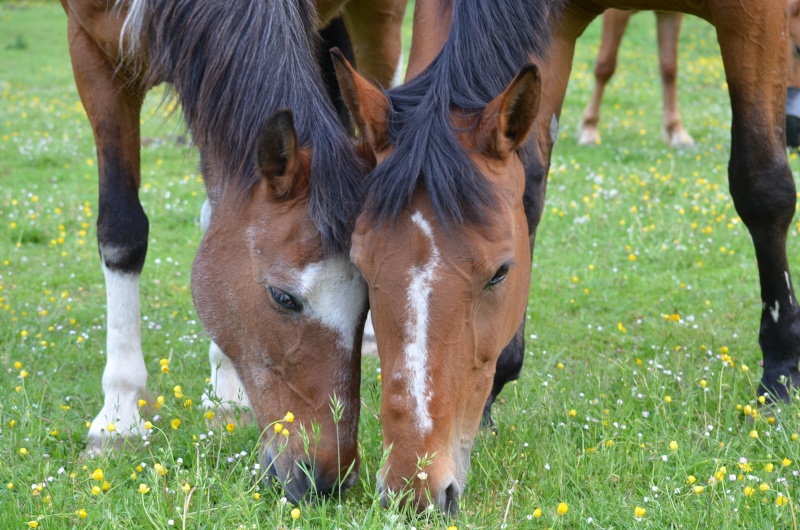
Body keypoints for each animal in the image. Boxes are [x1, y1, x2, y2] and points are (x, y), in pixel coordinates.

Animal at [576, 8, 692, 147]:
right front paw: (589, 129)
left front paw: (677, 132)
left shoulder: (670, 14)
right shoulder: (615, 13)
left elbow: (668, 68)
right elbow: (605, 66)